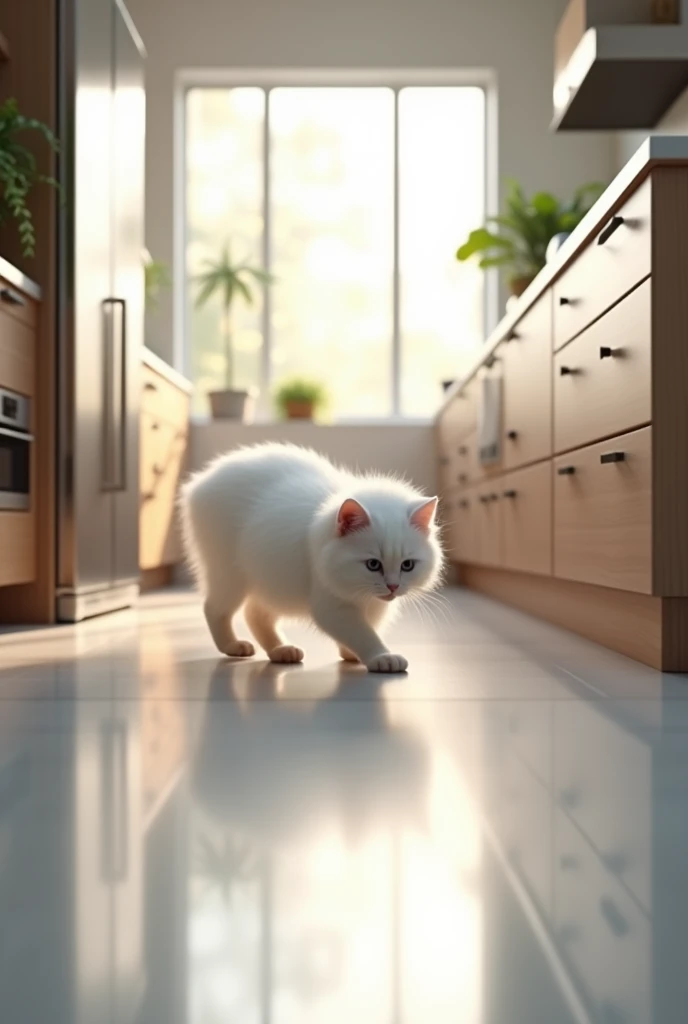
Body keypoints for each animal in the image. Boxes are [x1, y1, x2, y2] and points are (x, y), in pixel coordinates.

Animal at [180, 442, 444, 671]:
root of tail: (200, 481)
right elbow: (363, 633)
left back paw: (281, 650)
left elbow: (369, 628)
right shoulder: (332, 605)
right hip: (231, 576)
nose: (393, 586)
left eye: (407, 565)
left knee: (255, 614)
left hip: (271, 579)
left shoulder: (375, 605)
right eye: (372, 564)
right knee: (214, 609)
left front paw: (351, 653)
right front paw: (382, 657)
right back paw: (232, 646)